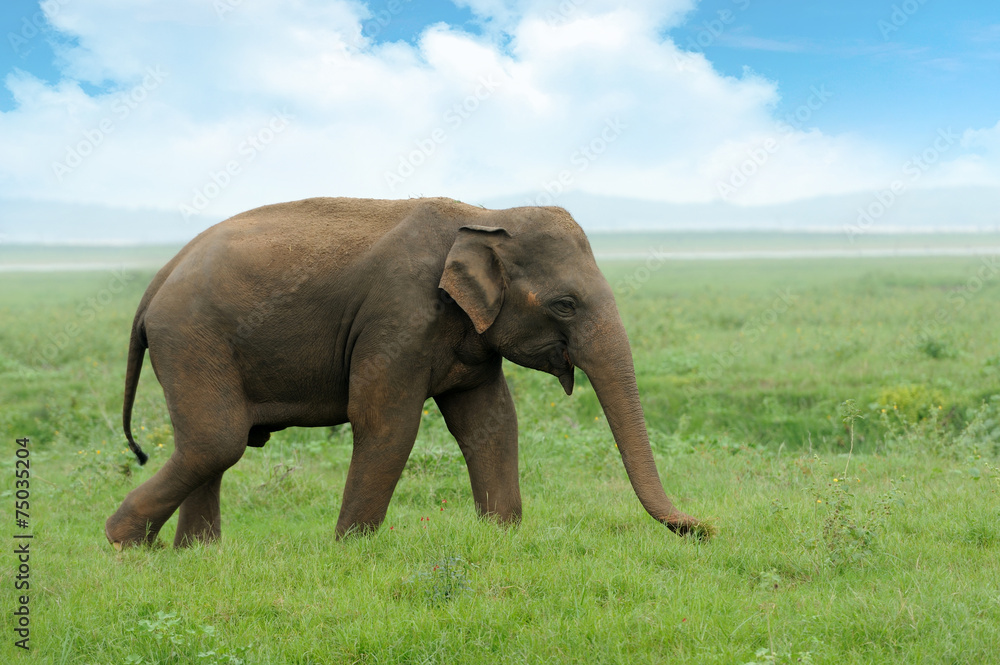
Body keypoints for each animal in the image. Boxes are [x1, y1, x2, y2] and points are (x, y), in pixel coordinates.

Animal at [105, 197, 704, 549]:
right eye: (564, 305)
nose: (704, 529)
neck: (485, 213)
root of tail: (156, 282)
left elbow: (490, 421)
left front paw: (502, 538)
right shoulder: (398, 315)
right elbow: (386, 422)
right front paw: (351, 551)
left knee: (212, 448)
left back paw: (197, 555)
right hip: (192, 339)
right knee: (217, 441)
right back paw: (126, 545)